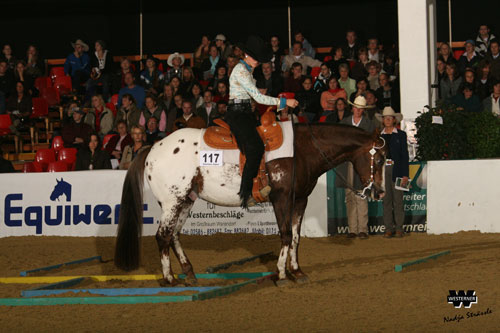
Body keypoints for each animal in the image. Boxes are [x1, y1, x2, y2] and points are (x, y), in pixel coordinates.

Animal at [114, 122, 386, 282]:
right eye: (381, 159)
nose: (380, 192)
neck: (302, 150)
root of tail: (153, 148)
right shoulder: (281, 198)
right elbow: (286, 235)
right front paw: (281, 273)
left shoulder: (300, 200)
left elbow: (296, 237)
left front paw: (297, 271)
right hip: (173, 201)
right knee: (162, 236)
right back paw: (170, 278)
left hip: (186, 200)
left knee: (174, 235)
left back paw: (189, 273)